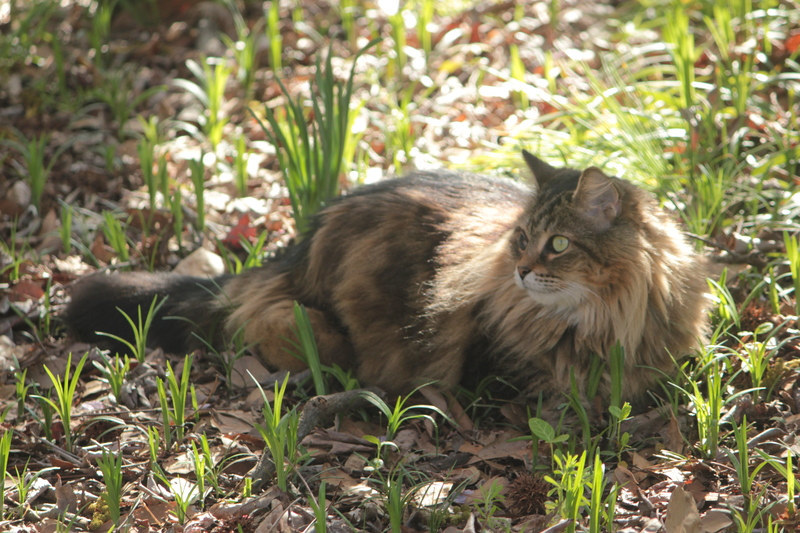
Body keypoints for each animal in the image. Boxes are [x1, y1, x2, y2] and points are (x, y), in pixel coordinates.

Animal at [65, 152, 708, 418]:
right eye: (522, 238)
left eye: (559, 245)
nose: (523, 271)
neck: (602, 319)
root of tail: (296, 246)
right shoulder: (491, 374)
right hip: (313, 327)